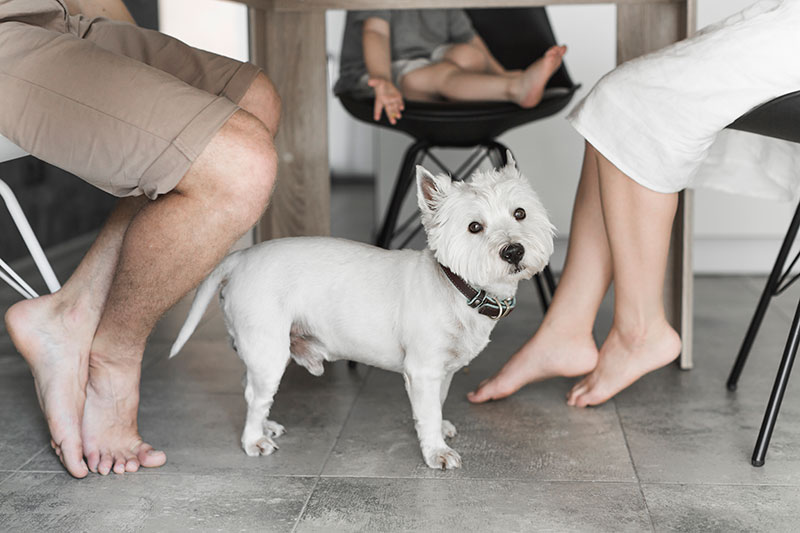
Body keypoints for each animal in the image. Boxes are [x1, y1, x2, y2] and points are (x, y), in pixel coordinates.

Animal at [170, 155, 552, 470]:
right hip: (268, 349)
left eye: (520, 213)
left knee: (250, 387)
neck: (458, 288)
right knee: (255, 395)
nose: (514, 251)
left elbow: (438, 402)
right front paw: (435, 451)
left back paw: (266, 426)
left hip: (264, 350)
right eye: (474, 227)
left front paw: (439, 428)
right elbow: (427, 412)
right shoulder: (423, 369)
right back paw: (253, 440)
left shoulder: (442, 371)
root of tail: (239, 257)